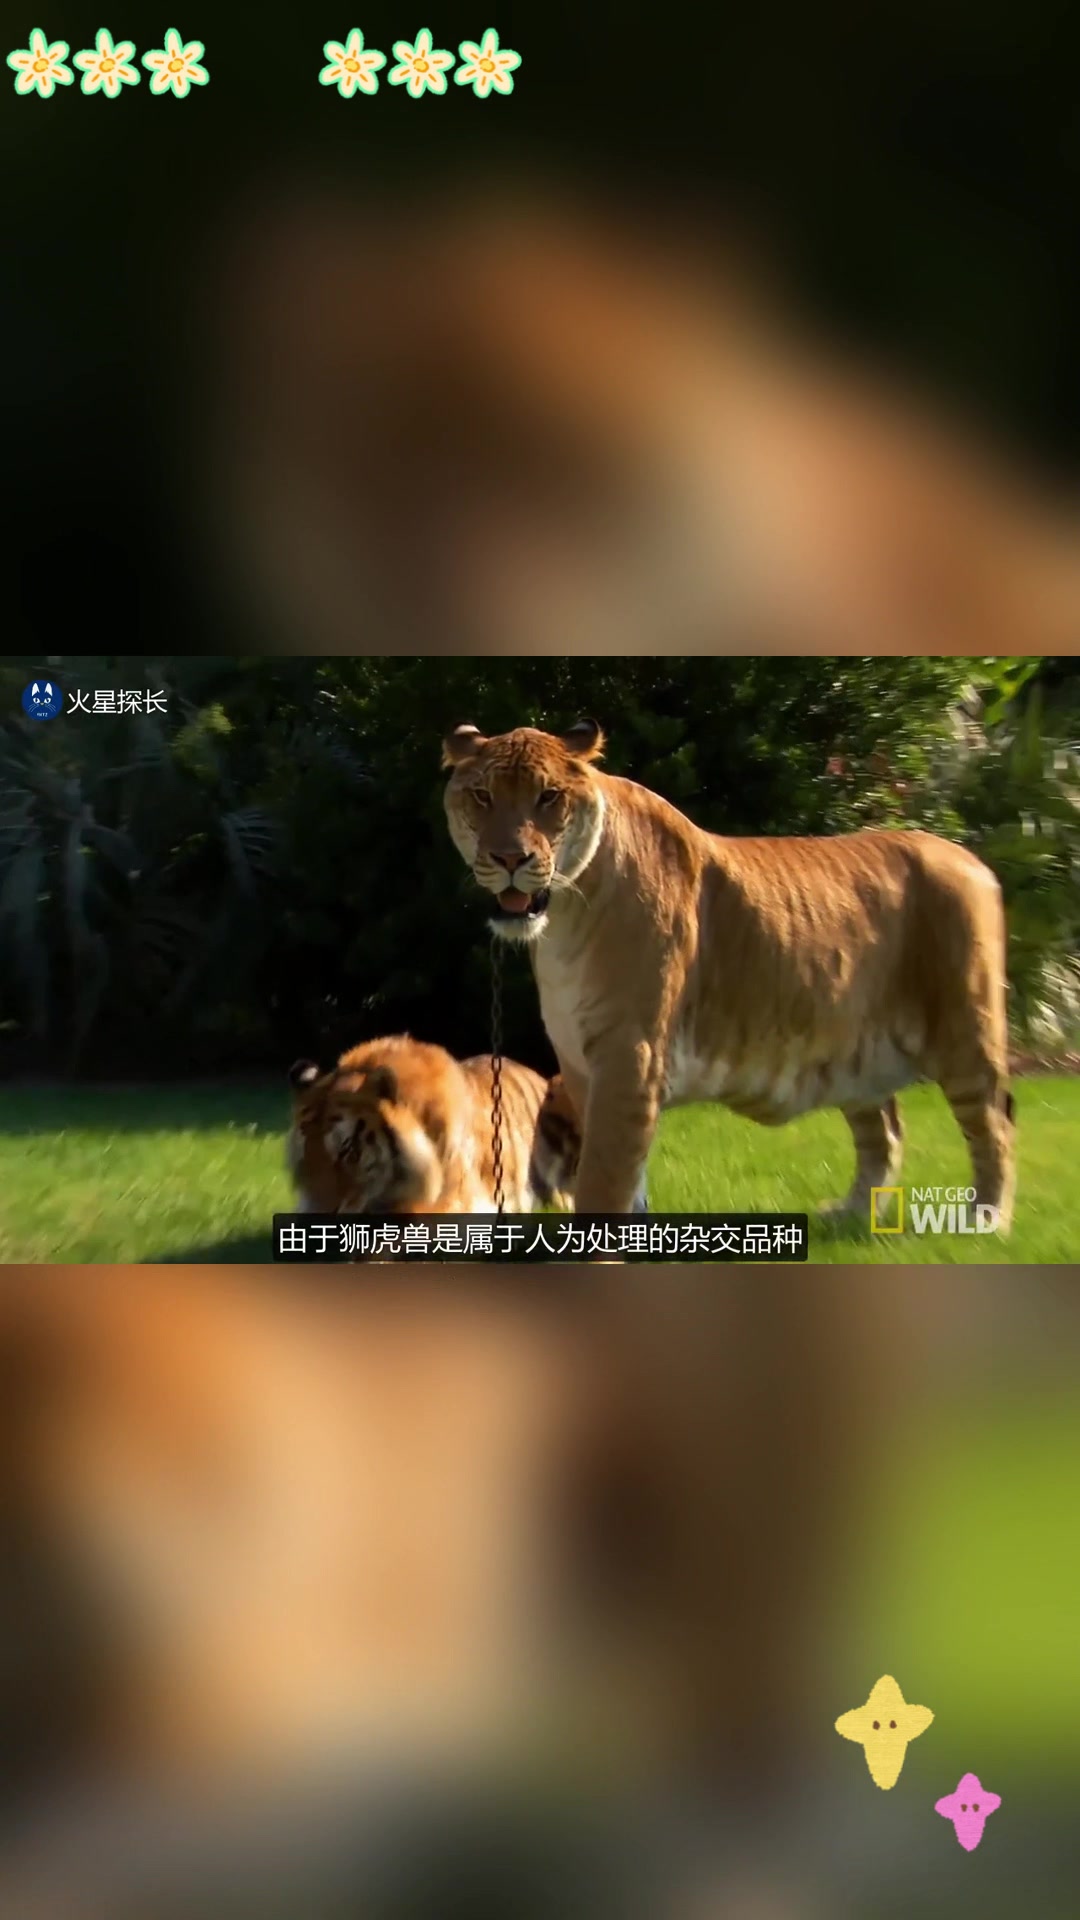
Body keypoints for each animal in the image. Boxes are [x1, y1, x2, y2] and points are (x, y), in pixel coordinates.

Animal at [442, 719, 1017, 1232]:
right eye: (482, 796)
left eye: (549, 797)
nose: (510, 858)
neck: (561, 918)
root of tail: (970, 857)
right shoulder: (582, 1068)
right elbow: (629, 1181)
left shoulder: (631, 1058)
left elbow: (603, 1180)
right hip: (855, 1054)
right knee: (884, 1130)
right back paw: (850, 1215)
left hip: (967, 1034)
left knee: (995, 1122)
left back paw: (986, 1220)